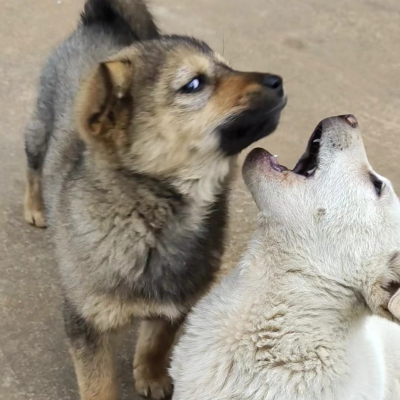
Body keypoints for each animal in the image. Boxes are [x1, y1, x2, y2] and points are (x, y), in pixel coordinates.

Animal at [23, 0, 286, 400]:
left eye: (228, 67)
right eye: (194, 84)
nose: (277, 81)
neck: (149, 219)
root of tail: (100, 21)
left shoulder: (178, 300)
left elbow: (156, 342)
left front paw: (151, 376)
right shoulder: (85, 321)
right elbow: (98, 383)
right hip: (39, 129)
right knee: (34, 165)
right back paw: (36, 206)